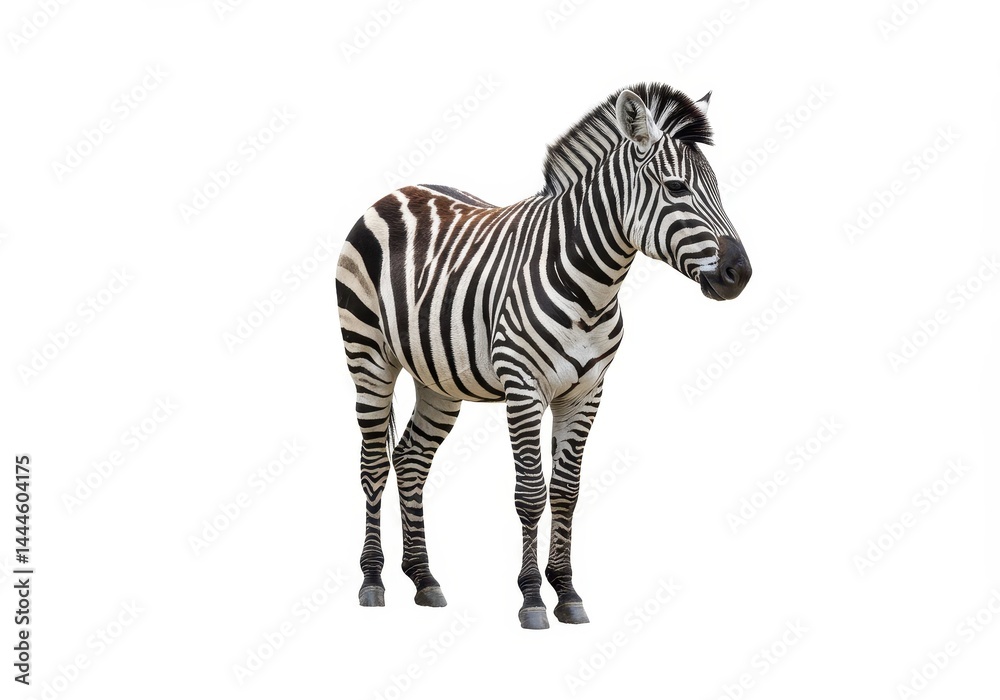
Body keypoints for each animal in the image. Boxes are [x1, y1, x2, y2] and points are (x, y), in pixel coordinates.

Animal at [336, 82, 751, 629]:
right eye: (677, 189)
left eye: (717, 189)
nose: (739, 274)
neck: (592, 287)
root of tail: (398, 191)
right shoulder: (523, 385)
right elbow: (531, 492)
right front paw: (532, 598)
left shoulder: (587, 392)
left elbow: (567, 493)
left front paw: (568, 591)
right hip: (368, 356)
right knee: (373, 465)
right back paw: (372, 581)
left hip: (437, 379)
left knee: (409, 460)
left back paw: (424, 579)